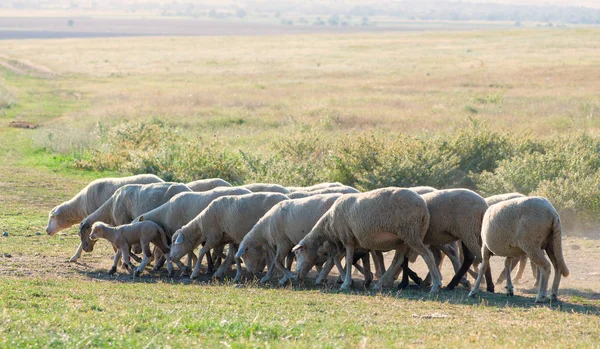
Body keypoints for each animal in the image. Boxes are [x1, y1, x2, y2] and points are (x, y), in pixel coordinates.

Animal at [292, 188, 442, 290]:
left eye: (298, 254)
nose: (297, 276)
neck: (328, 227)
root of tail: (424, 206)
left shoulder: (347, 239)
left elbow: (347, 260)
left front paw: (346, 283)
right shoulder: (353, 242)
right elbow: (338, 259)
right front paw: (350, 279)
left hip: (411, 233)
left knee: (427, 256)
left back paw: (436, 284)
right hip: (403, 239)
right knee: (397, 260)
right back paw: (380, 283)